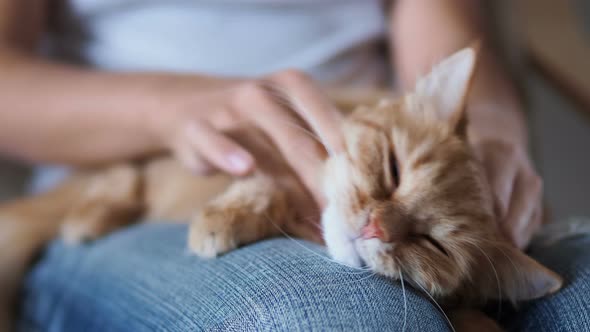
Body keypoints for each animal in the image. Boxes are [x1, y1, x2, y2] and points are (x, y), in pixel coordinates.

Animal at [0, 47, 564, 332]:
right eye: (393, 170)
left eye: (433, 245)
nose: (375, 227)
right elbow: (257, 181)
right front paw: (222, 218)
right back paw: (89, 219)